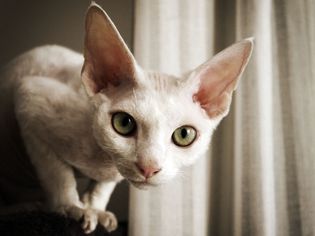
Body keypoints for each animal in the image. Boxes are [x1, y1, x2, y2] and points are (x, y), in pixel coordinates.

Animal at [0, 1, 254, 234]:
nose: (149, 168)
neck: (102, 161)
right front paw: (72, 207)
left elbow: (103, 187)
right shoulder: (29, 100)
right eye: (123, 123)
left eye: (184, 135)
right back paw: (25, 206)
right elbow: (57, 175)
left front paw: (96, 208)